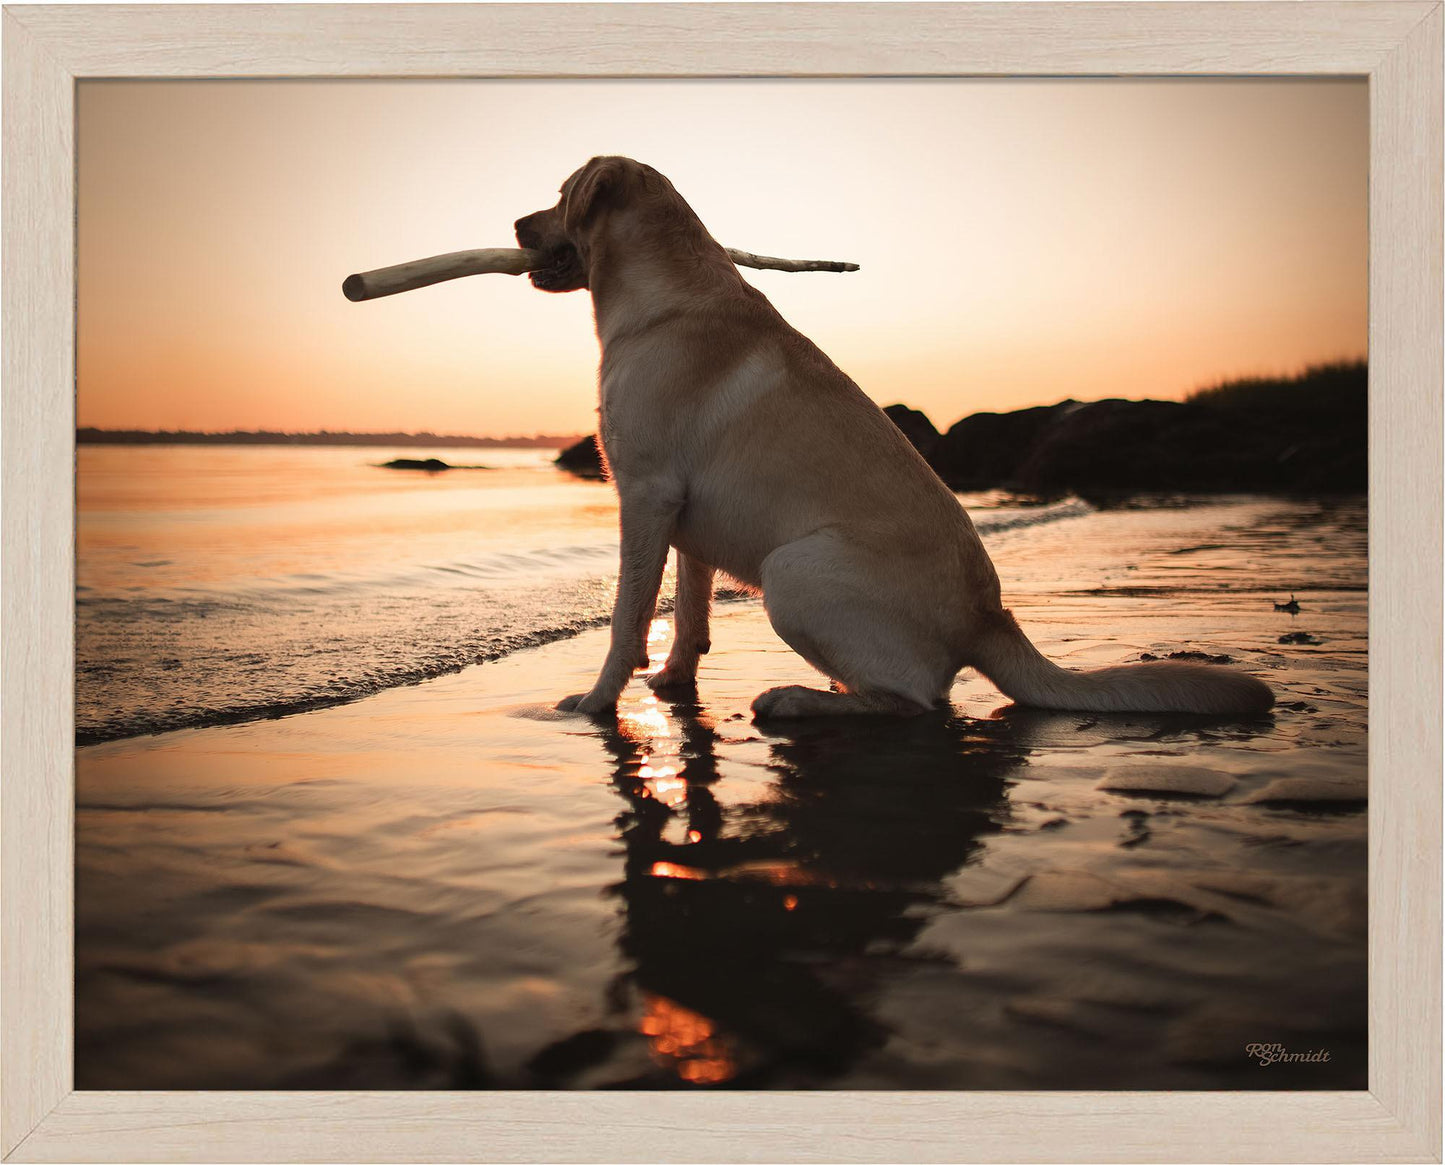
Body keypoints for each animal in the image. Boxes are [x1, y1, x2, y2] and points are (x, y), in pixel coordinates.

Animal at [514, 157, 1271, 719]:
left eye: (559, 196)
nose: (516, 222)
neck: (663, 292)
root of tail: (990, 619)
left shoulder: (645, 494)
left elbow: (627, 617)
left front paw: (596, 701)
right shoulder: (682, 511)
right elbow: (689, 608)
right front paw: (672, 680)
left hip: (791, 569)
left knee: (915, 700)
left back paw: (798, 699)